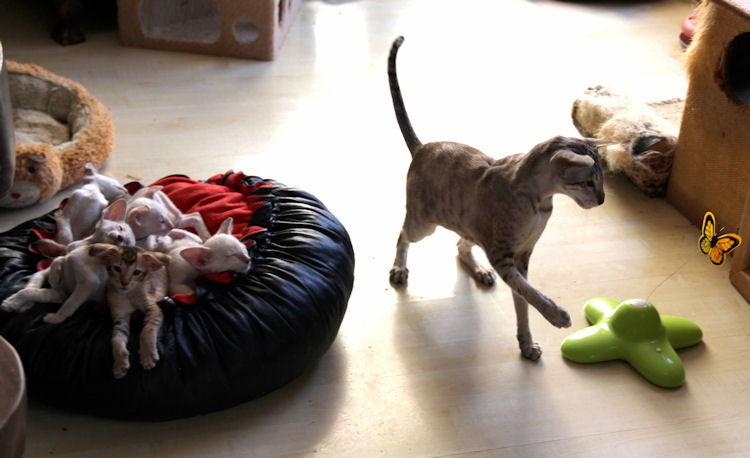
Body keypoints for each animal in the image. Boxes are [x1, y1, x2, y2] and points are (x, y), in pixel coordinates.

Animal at [89, 244, 170, 378]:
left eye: (136, 272)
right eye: (117, 268)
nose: (124, 283)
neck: (129, 294)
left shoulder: (153, 309)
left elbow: (147, 331)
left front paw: (147, 355)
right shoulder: (120, 316)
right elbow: (116, 339)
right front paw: (120, 363)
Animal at [387, 36, 605, 360]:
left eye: (602, 182)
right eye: (589, 182)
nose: (602, 200)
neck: (541, 202)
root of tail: (422, 147)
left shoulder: (522, 256)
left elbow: (522, 301)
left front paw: (526, 342)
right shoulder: (503, 254)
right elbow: (529, 293)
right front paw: (556, 315)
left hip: (467, 224)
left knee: (459, 245)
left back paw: (479, 271)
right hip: (424, 223)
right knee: (402, 235)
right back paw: (400, 269)